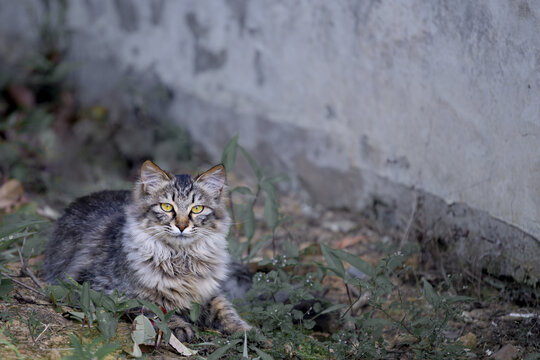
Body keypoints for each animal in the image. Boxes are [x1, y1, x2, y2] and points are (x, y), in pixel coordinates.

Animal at [43, 160, 251, 340]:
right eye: (166, 206)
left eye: (197, 209)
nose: (182, 226)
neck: (180, 259)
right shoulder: (102, 289)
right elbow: (155, 309)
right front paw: (179, 326)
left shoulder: (208, 292)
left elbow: (224, 308)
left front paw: (244, 330)